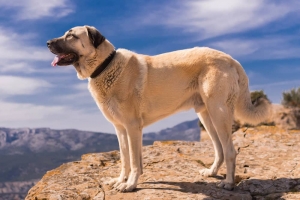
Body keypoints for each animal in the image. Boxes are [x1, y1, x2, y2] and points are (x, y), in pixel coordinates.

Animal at [46, 25, 270, 192]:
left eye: (71, 35)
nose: (47, 43)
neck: (105, 66)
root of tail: (231, 59)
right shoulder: (120, 129)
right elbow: (125, 159)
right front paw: (120, 180)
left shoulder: (132, 127)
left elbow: (134, 161)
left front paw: (130, 185)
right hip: (206, 115)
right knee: (220, 149)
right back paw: (212, 172)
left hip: (219, 112)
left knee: (230, 150)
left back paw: (229, 183)